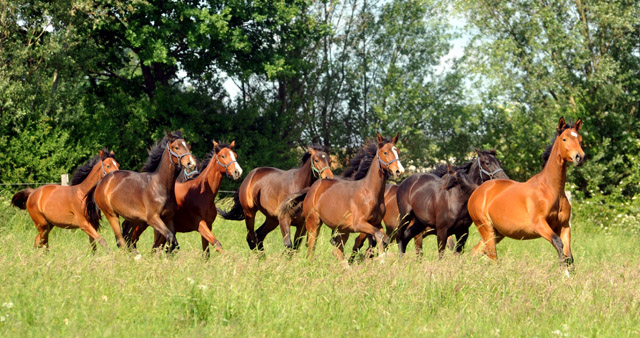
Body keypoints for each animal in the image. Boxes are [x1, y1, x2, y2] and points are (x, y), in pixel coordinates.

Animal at [350, 148, 510, 256]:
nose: (504, 179)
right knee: (365, 242)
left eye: (499, 162)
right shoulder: (431, 233)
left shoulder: (458, 232)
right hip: (389, 225)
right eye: (487, 162)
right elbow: (424, 253)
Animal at [464, 117, 584, 268]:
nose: (579, 157)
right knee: (492, 257)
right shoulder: (540, 224)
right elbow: (559, 247)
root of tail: (478, 191)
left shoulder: (564, 226)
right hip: (486, 229)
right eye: (564, 139)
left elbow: (569, 257)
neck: (550, 190)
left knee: (474, 252)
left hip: (497, 233)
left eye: (580, 139)